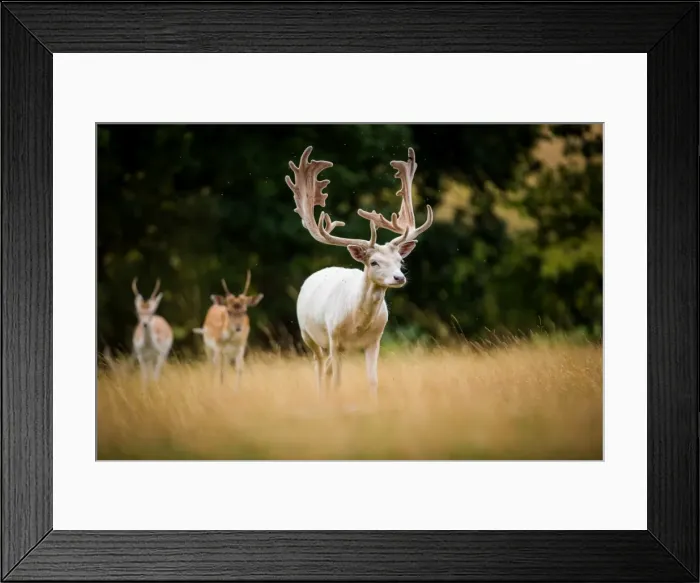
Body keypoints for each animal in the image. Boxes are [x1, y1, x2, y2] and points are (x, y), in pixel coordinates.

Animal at [286, 146, 433, 396]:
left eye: (400, 261)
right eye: (373, 262)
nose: (399, 277)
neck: (357, 325)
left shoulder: (375, 341)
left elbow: (372, 380)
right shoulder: (334, 339)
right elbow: (337, 380)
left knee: (326, 368)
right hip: (308, 334)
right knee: (319, 367)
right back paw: (320, 395)